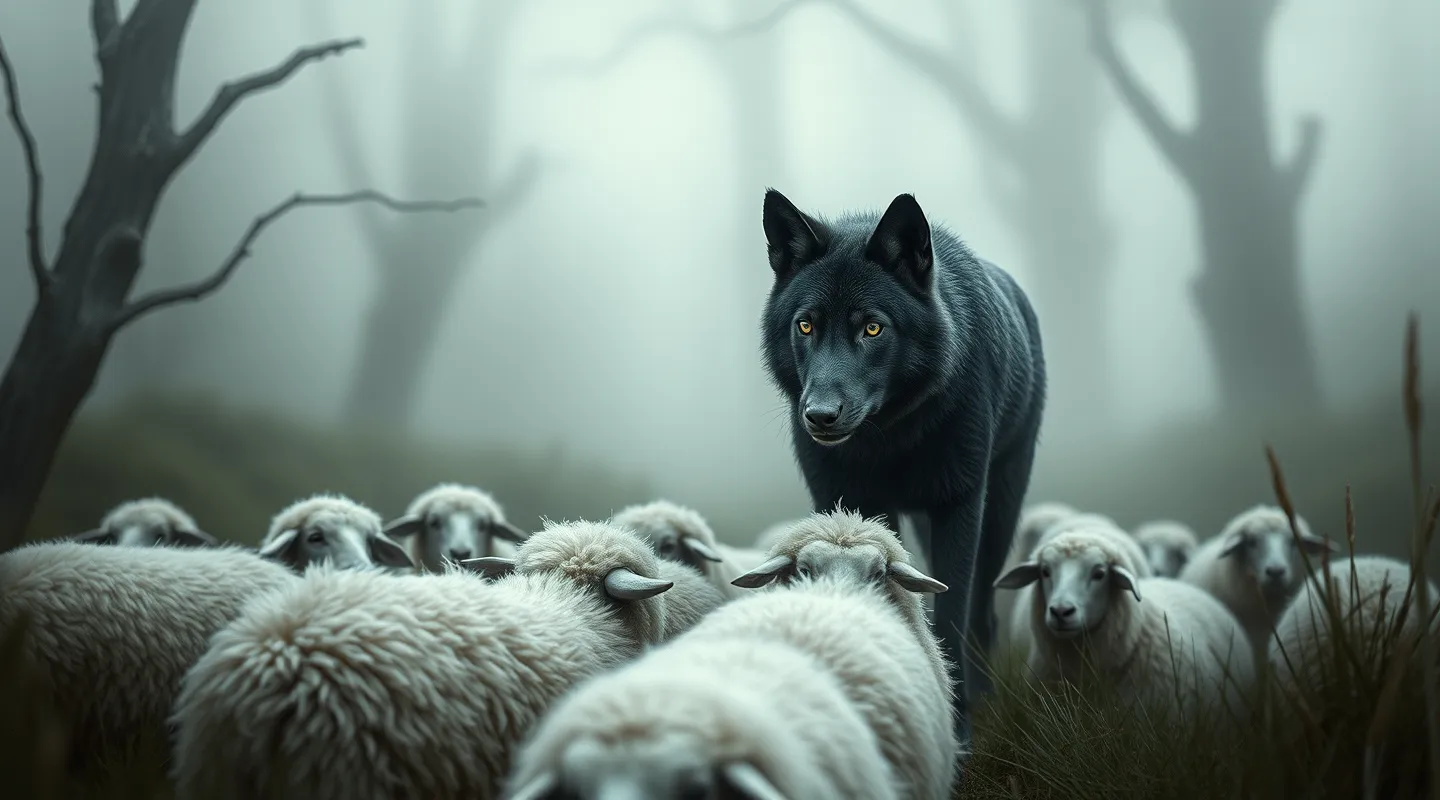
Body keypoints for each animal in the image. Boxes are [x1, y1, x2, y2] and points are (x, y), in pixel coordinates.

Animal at [755, 189, 1047, 760]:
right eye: (806, 325)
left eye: (872, 327)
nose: (818, 416)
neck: (887, 441)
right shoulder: (846, 505)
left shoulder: (959, 505)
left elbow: (950, 616)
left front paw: (958, 731)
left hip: (1000, 509)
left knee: (982, 613)